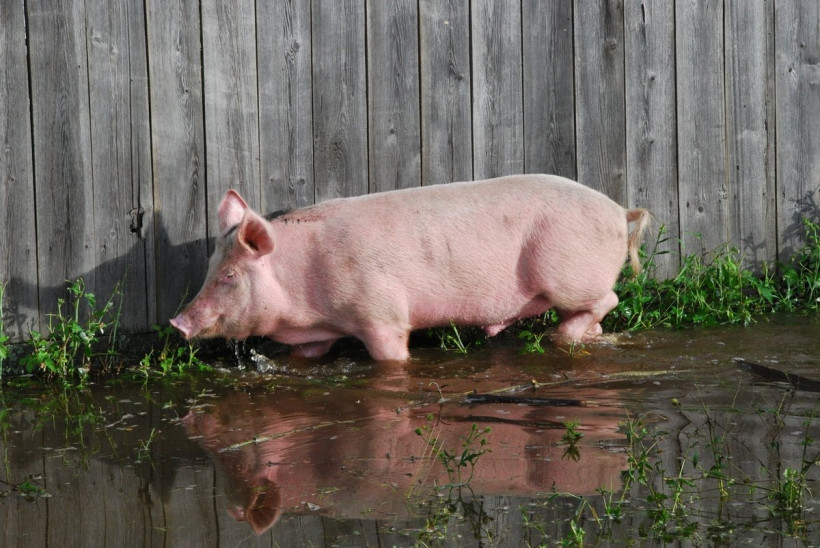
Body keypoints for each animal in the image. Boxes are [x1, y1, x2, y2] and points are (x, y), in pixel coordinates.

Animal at [170, 174, 650, 361]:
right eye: (211, 267)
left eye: (229, 276)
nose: (177, 322)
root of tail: (617, 210)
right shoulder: (317, 334)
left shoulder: (382, 314)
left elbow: (392, 354)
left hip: (569, 276)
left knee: (609, 297)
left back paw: (559, 336)